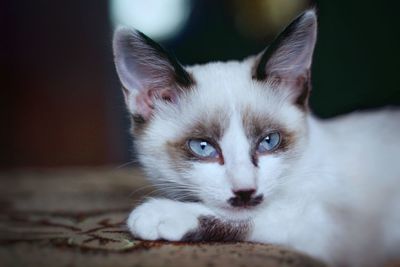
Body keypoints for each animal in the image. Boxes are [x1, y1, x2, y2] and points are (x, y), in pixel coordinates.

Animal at [111, 8, 400, 267]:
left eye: (269, 141)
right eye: (203, 147)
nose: (245, 192)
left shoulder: (325, 227)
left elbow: (251, 217)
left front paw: (162, 213)